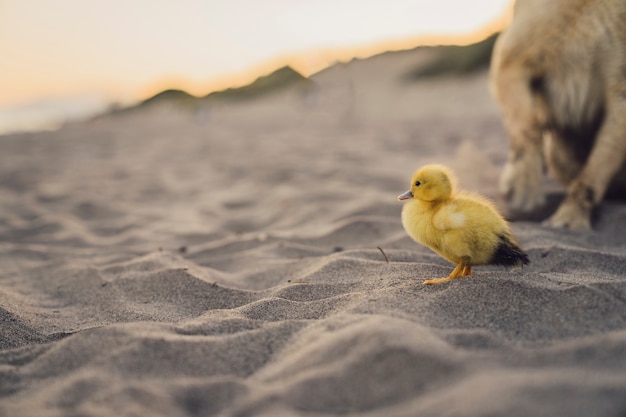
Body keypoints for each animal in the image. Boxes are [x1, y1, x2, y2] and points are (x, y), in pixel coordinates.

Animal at [488, 0, 624, 229]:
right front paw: (524, 184)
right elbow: (527, 127)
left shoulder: (620, 91)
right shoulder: (514, 56)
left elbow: (594, 171)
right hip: (559, 154)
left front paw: (571, 217)